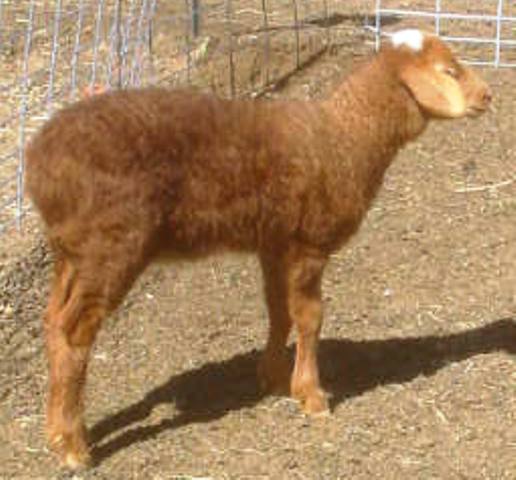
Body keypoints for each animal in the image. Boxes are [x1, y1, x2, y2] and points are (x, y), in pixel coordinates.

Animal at [25, 28, 492, 466]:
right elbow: (310, 317)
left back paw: (54, 431)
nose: (487, 96)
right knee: (74, 333)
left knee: (52, 323)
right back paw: (74, 446)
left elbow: (278, 311)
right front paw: (312, 395)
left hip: (72, 252)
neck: (345, 135)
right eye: (448, 71)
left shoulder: (274, 243)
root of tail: (39, 163)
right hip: (112, 247)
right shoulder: (308, 243)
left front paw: (274, 378)